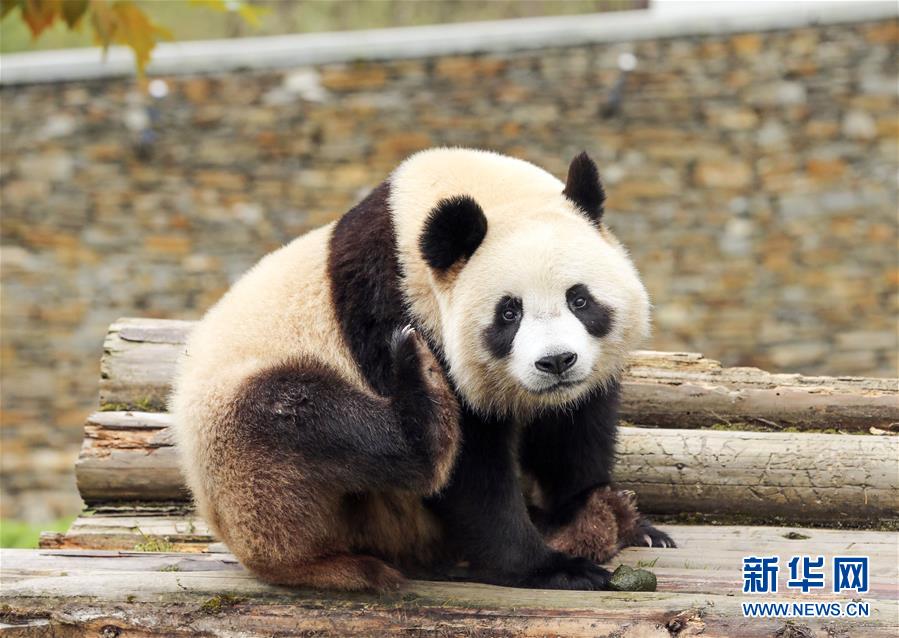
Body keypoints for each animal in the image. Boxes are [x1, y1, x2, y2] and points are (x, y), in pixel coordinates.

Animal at [172, 148, 672, 592]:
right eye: (509, 313)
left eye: (579, 299)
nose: (555, 362)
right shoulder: (393, 309)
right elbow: (470, 474)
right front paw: (550, 567)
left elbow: (573, 431)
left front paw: (606, 516)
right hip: (238, 450)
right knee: (301, 422)